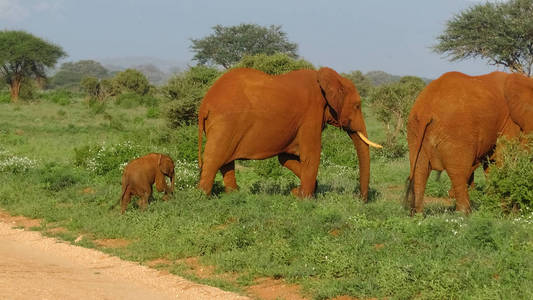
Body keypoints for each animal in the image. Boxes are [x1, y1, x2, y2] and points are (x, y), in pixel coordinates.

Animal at [197, 67, 380, 200]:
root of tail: (205, 104)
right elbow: (311, 155)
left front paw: (296, 192)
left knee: (226, 161)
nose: (361, 199)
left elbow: (285, 157)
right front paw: (305, 199)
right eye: (357, 106)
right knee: (215, 158)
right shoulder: (311, 114)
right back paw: (203, 197)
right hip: (225, 124)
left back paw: (234, 194)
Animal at [406, 71, 528, 214]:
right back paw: (464, 214)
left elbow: (492, 162)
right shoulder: (510, 121)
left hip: (414, 129)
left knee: (420, 169)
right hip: (456, 133)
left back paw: (418, 214)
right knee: (459, 172)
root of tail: (426, 110)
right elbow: (502, 157)